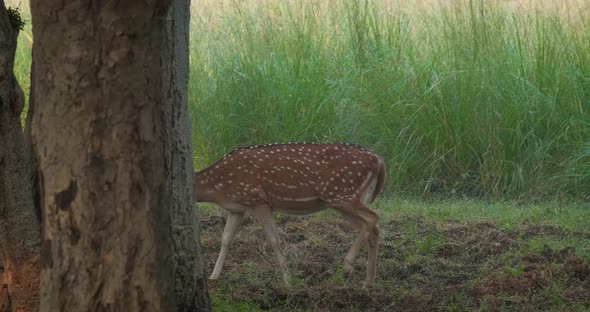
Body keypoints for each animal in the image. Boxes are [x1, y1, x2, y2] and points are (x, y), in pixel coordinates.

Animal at [195, 143, 388, 286]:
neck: (218, 187)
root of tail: (380, 161)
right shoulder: (237, 208)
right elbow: (226, 238)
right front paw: (213, 277)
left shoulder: (259, 201)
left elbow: (274, 240)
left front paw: (287, 283)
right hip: (343, 199)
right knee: (371, 227)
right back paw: (368, 283)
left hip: (342, 194)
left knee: (373, 218)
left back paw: (348, 266)